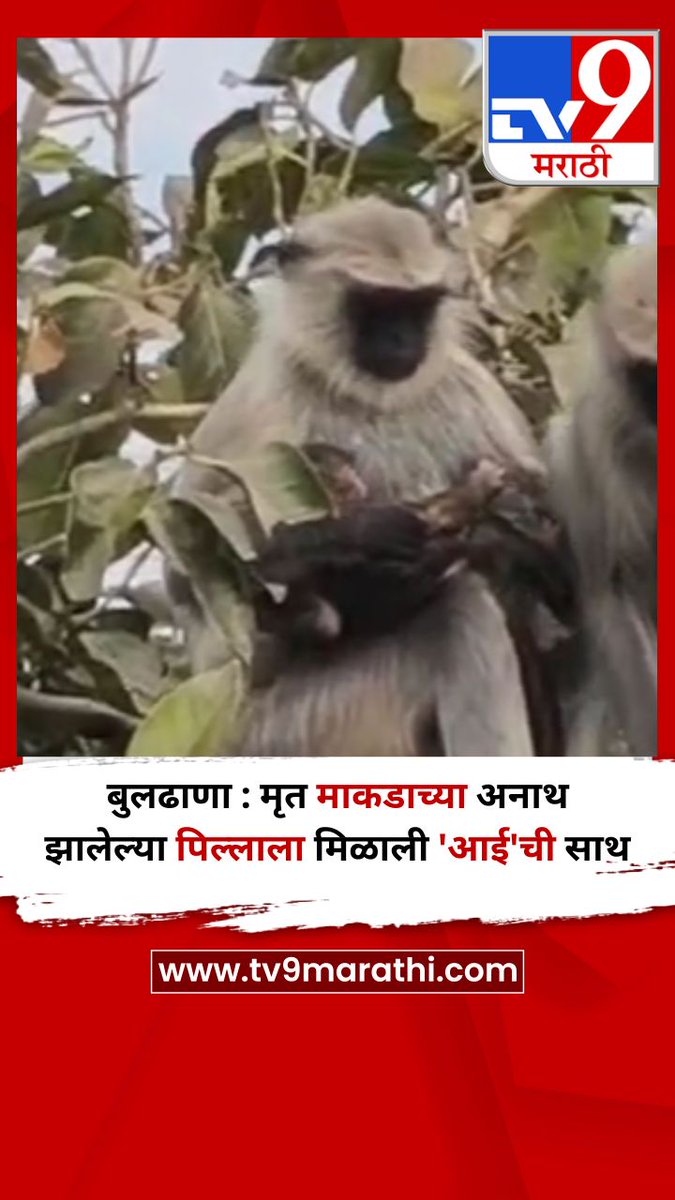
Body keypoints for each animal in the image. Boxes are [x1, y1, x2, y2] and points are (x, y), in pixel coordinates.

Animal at [173, 196, 554, 756]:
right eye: (375, 305)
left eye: (417, 308)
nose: (401, 339)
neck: (371, 400)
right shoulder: (264, 396)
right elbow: (190, 564)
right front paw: (369, 539)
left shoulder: (467, 385)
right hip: (287, 728)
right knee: (457, 612)